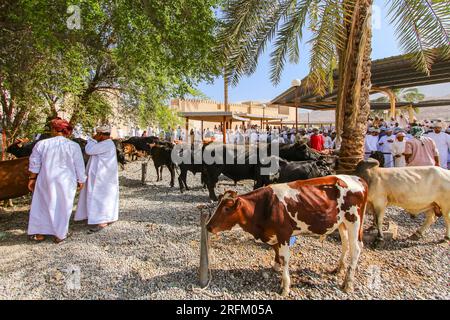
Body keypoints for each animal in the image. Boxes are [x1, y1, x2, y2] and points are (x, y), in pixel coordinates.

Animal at [207, 175, 370, 296]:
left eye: (227, 208)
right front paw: (275, 266)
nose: (208, 226)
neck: (265, 207)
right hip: (341, 223)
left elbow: (285, 258)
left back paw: (348, 284)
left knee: (356, 248)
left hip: (354, 221)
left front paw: (285, 286)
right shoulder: (273, 234)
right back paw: (339, 269)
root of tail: (358, 179)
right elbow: (276, 251)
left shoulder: (284, 233)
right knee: (345, 243)